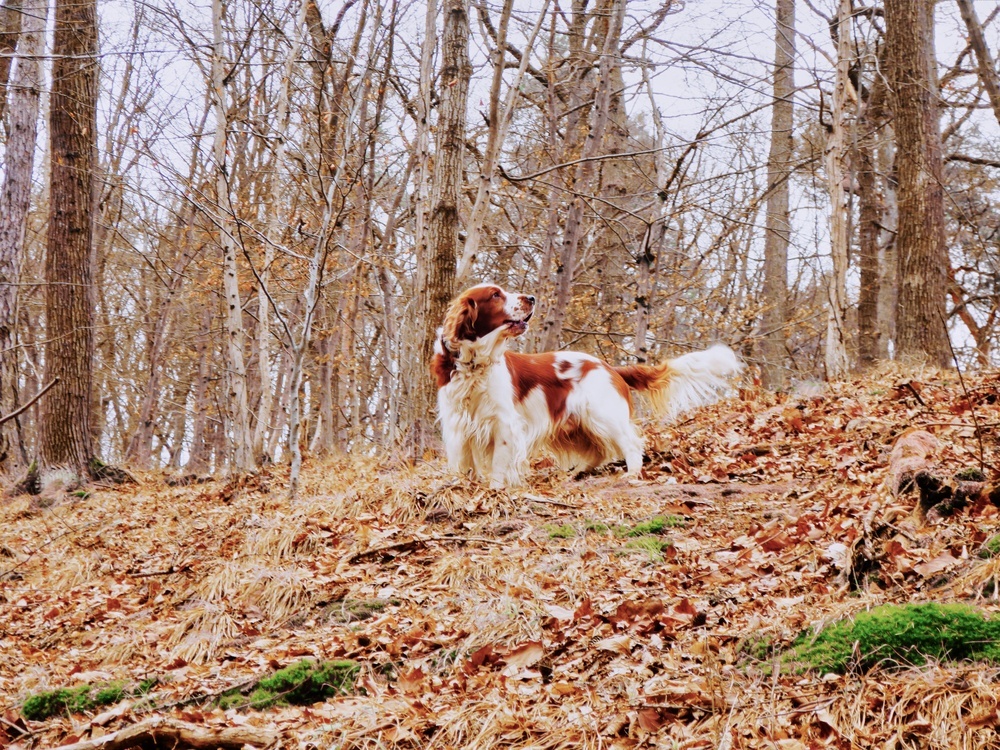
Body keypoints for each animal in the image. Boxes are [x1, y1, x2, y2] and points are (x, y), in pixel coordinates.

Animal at [430, 284, 744, 488]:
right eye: (496, 295)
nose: (531, 297)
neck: (474, 364)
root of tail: (610, 367)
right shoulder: (459, 425)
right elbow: (464, 464)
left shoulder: (504, 424)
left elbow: (498, 465)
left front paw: (495, 490)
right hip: (577, 425)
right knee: (598, 451)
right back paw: (576, 471)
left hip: (602, 415)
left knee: (630, 443)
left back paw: (632, 474)